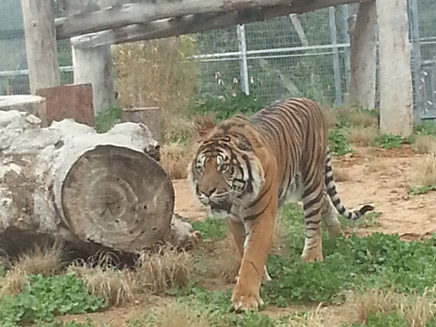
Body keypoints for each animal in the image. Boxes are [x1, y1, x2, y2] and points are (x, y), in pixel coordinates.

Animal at [187, 97, 372, 312]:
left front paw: (245, 299)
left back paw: (311, 257)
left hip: (310, 179)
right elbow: (244, 249)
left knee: (313, 218)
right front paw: (260, 279)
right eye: (200, 168)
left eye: (223, 167)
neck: (238, 199)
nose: (205, 192)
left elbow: (252, 256)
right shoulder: (234, 221)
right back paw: (337, 235)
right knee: (325, 200)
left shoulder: (261, 217)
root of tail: (309, 101)